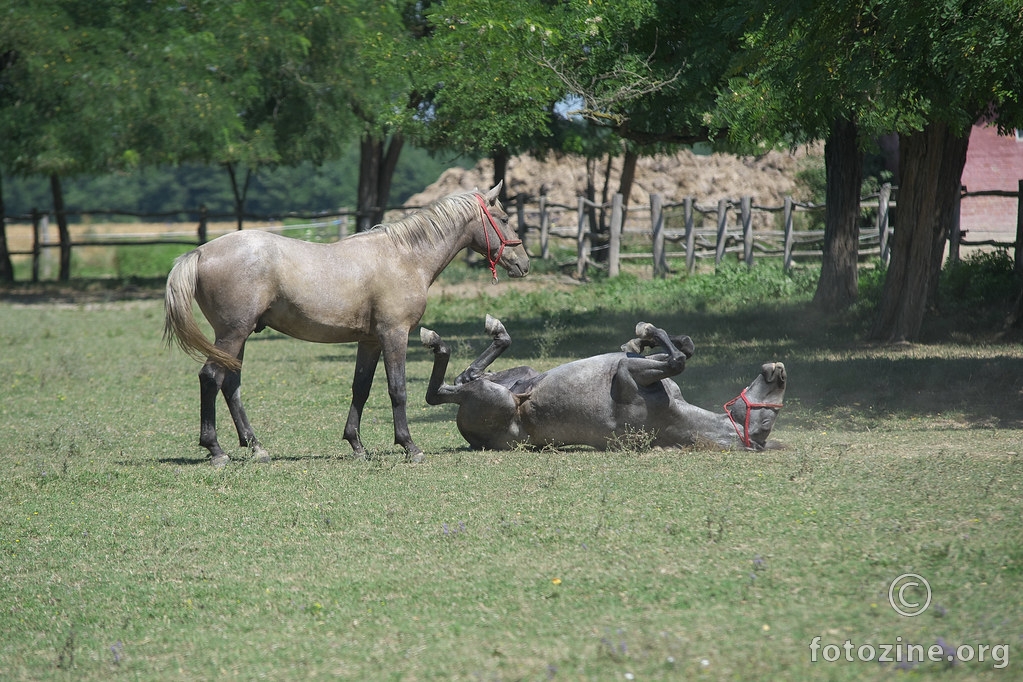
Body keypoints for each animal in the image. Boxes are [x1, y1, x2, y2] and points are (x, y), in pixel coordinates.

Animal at [165, 184, 527, 466]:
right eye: (505, 219)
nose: (524, 263)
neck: (404, 257)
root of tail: (199, 253)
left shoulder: (370, 341)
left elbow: (361, 389)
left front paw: (356, 444)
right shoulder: (395, 335)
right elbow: (397, 390)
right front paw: (409, 446)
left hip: (237, 337)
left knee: (230, 385)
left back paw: (256, 448)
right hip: (231, 334)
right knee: (211, 378)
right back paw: (216, 450)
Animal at [419, 316, 785, 449]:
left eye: (767, 421)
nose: (779, 371)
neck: (673, 417)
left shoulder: (625, 375)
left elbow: (677, 361)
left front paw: (646, 331)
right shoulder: (638, 369)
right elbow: (683, 350)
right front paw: (641, 339)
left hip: (496, 398)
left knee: (439, 393)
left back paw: (438, 341)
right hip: (517, 375)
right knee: (463, 378)